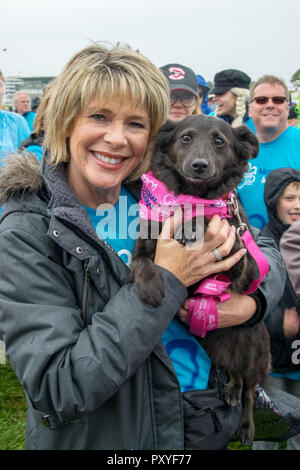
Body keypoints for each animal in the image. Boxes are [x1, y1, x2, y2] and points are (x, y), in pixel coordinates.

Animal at [130, 115, 270, 446]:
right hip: (213, 343)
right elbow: (141, 262)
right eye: (186, 138)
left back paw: (246, 426)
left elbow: (208, 218)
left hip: (253, 348)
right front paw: (152, 288)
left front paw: (192, 224)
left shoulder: (244, 267)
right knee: (233, 372)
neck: (190, 195)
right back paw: (230, 389)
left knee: (249, 391)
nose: (199, 165)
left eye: (219, 141)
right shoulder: (143, 246)